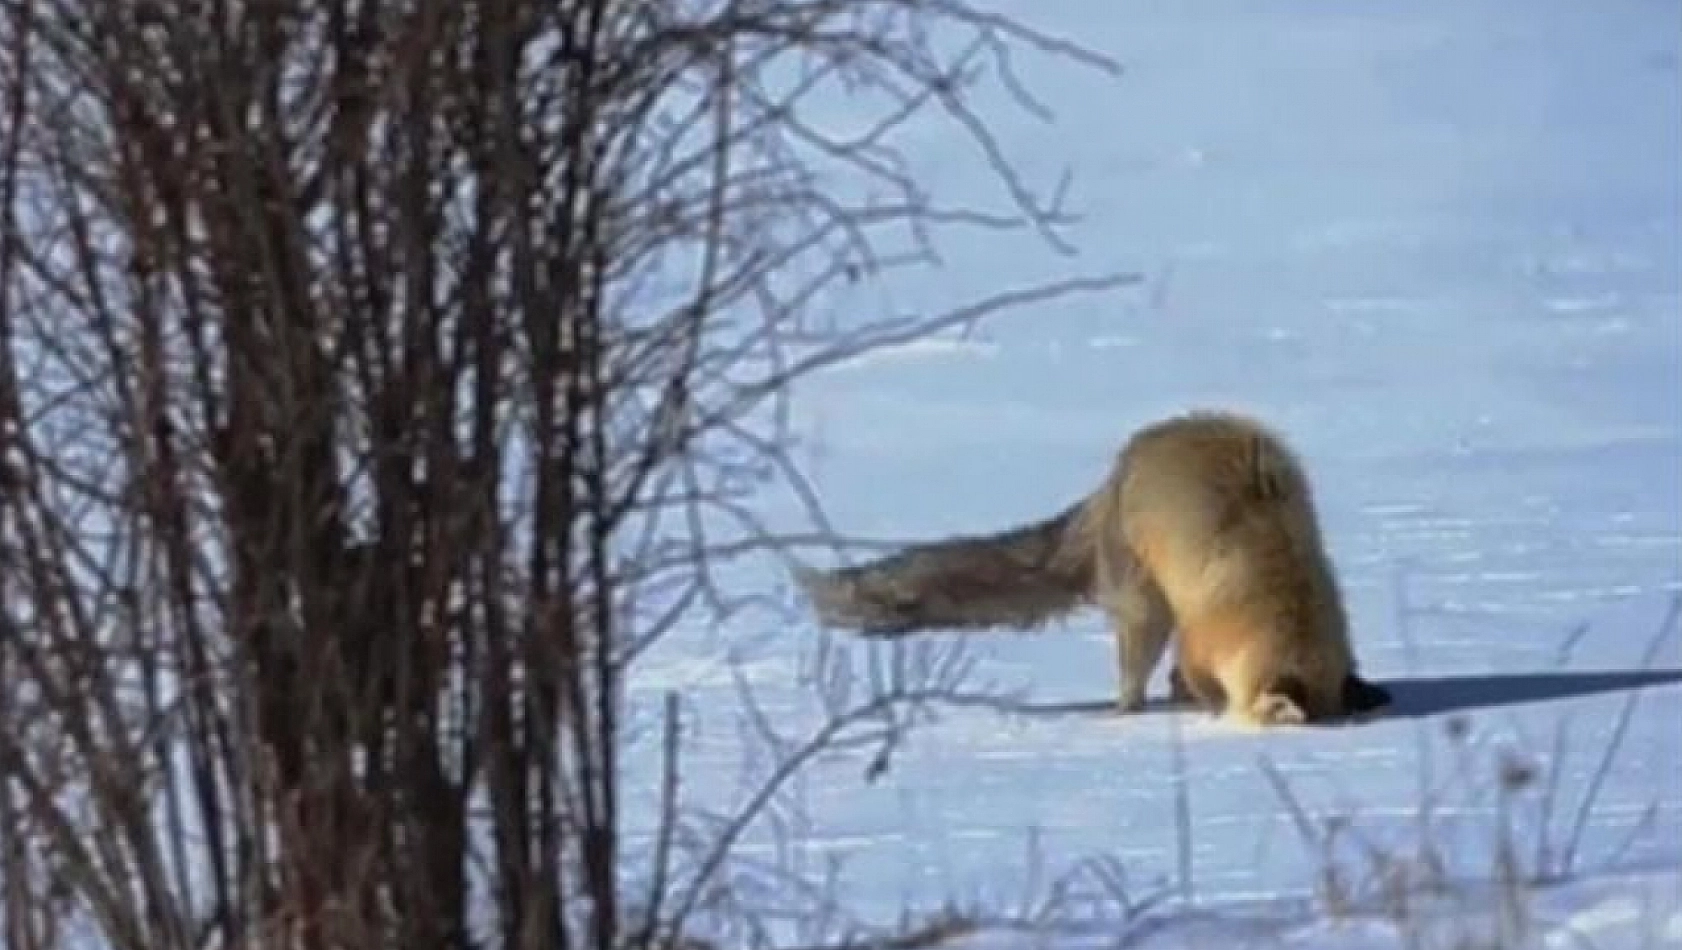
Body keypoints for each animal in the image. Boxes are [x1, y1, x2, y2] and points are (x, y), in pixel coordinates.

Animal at [797, 406, 1392, 726]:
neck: (1280, 597)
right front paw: (1197, 704)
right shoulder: (1198, 639)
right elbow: (1190, 675)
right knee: (1134, 666)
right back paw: (1123, 712)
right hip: (1143, 598)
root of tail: (1121, 468)